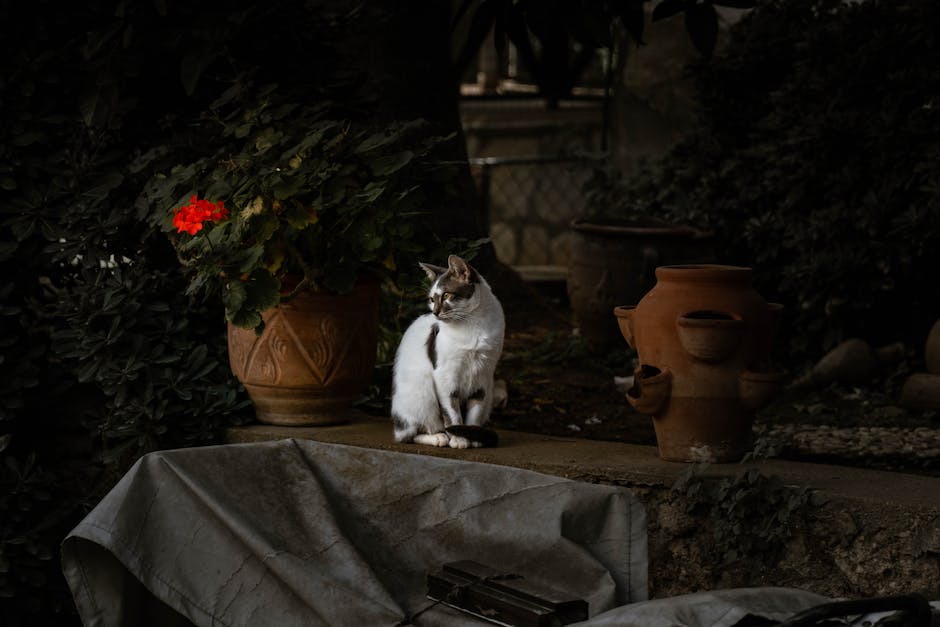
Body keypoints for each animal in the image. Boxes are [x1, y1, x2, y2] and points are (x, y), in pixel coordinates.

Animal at [390, 255, 506, 452]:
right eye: (431, 299)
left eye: (446, 295)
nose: (435, 312)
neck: (473, 323)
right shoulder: (445, 376)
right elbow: (451, 413)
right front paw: (458, 439)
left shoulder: (483, 375)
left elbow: (474, 412)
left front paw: (472, 435)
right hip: (422, 393)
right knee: (409, 435)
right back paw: (439, 437)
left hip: (490, 393)